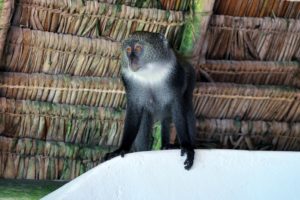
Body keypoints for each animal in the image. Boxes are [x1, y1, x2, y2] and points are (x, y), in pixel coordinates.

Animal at [105, 31, 197, 170]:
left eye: (138, 49)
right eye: (128, 50)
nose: (131, 60)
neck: (149, 71)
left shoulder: (174, 75)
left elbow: (177, 106)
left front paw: (187, 147)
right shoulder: (130, 82)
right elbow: (134, 110)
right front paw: (122, 148)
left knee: (186, 108)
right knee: (145, 119)